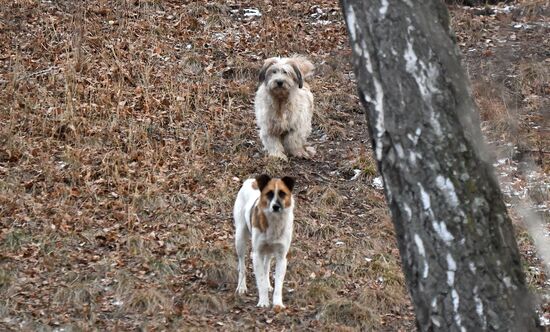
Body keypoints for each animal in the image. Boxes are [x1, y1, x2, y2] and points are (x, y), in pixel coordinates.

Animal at [236, 174, 298, 308]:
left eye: (282, 193)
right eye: (269, 194)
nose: (276, 206)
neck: (274, 221)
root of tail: (252, 180)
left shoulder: (281, 257)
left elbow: (278, 284)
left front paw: (278, 304)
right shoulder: (257, 254)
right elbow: (260, 281)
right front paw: (263, 302)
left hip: (269, 250)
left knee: (266, 265)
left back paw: (268, 284)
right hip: (240, 239)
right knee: (242, 264)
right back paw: (241, 286)